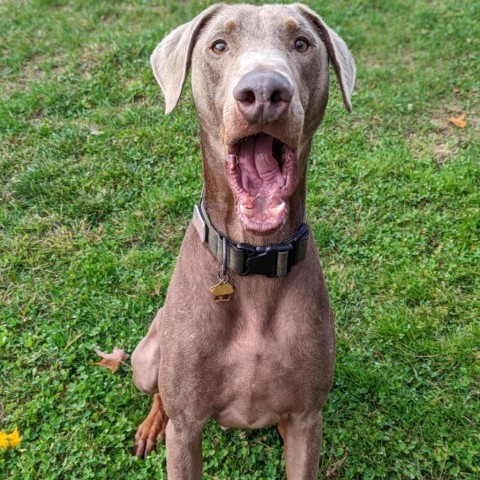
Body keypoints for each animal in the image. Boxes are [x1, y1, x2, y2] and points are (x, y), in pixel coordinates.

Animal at [129, 2, 354, 476]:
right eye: (219, 45)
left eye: (301, 43)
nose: (265, 91)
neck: (255, 255)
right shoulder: (187, 427)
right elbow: (180, 419)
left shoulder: (309, 418)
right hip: (147, 358)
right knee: (159, 393)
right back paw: (152, 424)